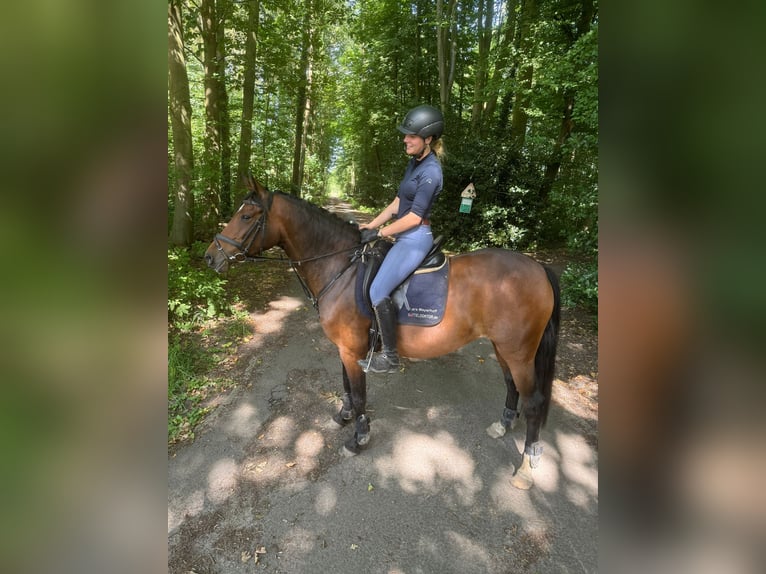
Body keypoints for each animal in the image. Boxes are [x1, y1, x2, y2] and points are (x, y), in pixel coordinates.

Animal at [207, 176, 560, 490]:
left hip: (519, 351)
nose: (210, 256)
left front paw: (358, 437)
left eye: (246, 216)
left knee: (534, 401)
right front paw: (344, 416)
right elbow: (346, 386)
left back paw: (527, 466)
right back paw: (503, 425)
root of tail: (539, 267)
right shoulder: (344, 347)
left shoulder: (352, 349)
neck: (341, 267)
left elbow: (359, 392)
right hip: (504, 347)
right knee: (511, 384)